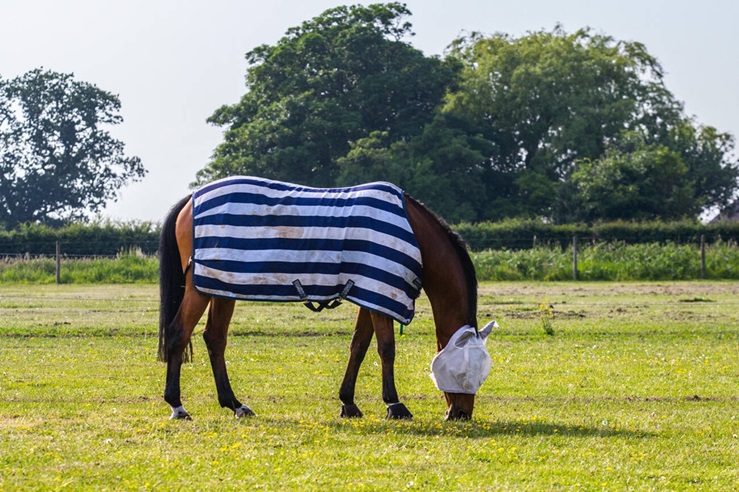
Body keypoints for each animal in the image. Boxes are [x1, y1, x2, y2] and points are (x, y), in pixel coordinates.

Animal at [158, 177, 486, 418]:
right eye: (464, 371)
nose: (461, 414)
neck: (413, 234)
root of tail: (191, 199)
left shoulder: (369, 294)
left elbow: (359, 346)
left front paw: (349, 402)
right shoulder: (379, 293)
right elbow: (386, 349)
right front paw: (395, 405)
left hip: (221, 287)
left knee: (214, 339)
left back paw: (235, 404)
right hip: (200, 288)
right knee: (178, 334)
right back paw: (177, 406)